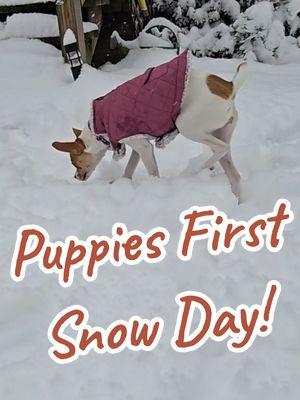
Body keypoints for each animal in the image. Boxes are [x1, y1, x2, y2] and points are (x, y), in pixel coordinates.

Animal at [52, 63, 247, 203]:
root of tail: (229, 87)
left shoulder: (144, 147)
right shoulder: (137, 145)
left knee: (222, 147)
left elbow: (152, 172)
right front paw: (122, 184)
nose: (76, 177)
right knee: (235, 175)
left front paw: (155, 187)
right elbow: (128, 169)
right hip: (219, 132)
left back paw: (198, 168)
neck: (98, 129)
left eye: (75, 163)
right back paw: (236, 202)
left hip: (187, 126)